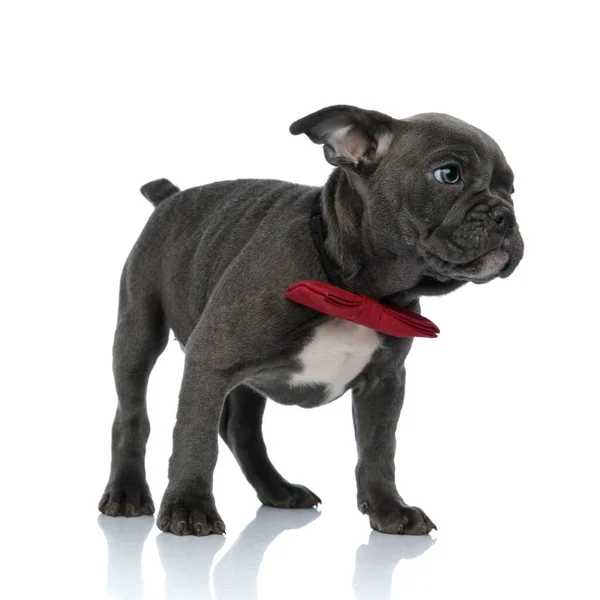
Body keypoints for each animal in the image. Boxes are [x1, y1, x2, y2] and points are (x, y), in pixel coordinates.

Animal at [99, 105, 524, 536]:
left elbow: (379, 447)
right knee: (132, 416)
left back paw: (277, 489)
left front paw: (390, 508)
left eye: (511, 189)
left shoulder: (384, 382)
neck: (357, 292)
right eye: (448, 174)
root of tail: (171, 197)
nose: (505, 215)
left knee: (240, 429)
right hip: (138, 333)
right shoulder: (210, 360)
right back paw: (128, 492)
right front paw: (189, 507)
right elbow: (195, 436)